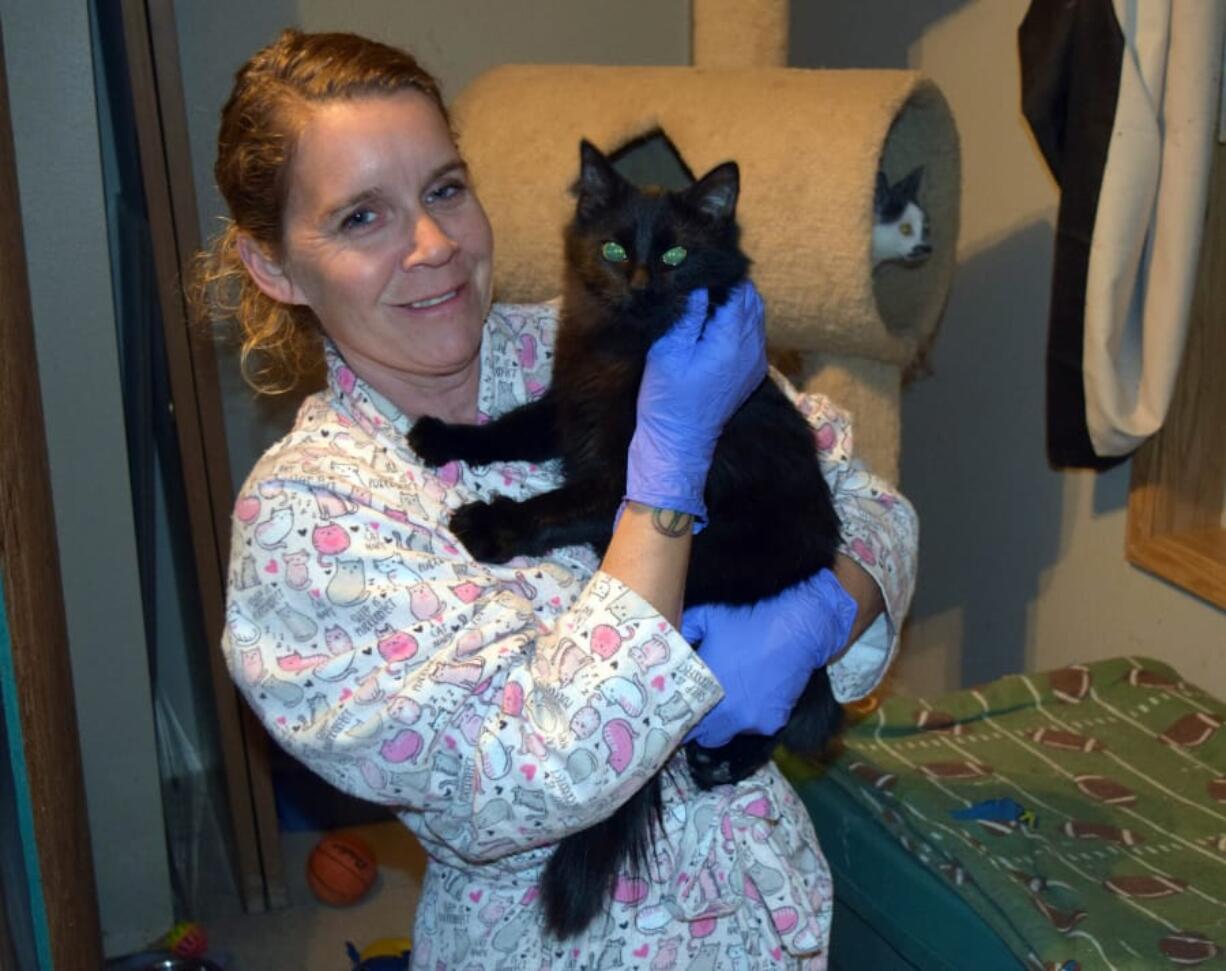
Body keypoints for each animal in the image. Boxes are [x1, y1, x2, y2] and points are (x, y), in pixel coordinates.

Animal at [407, 140, 848, 936]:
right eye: (615, 249)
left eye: (675, 254)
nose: (641, 285)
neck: (626, 352)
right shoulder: (567, 408)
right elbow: (510, 426)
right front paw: (445, 435)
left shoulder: (626, 480)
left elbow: (551, 505)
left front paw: (489, 524)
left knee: (799, 698)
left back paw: (731, 754)